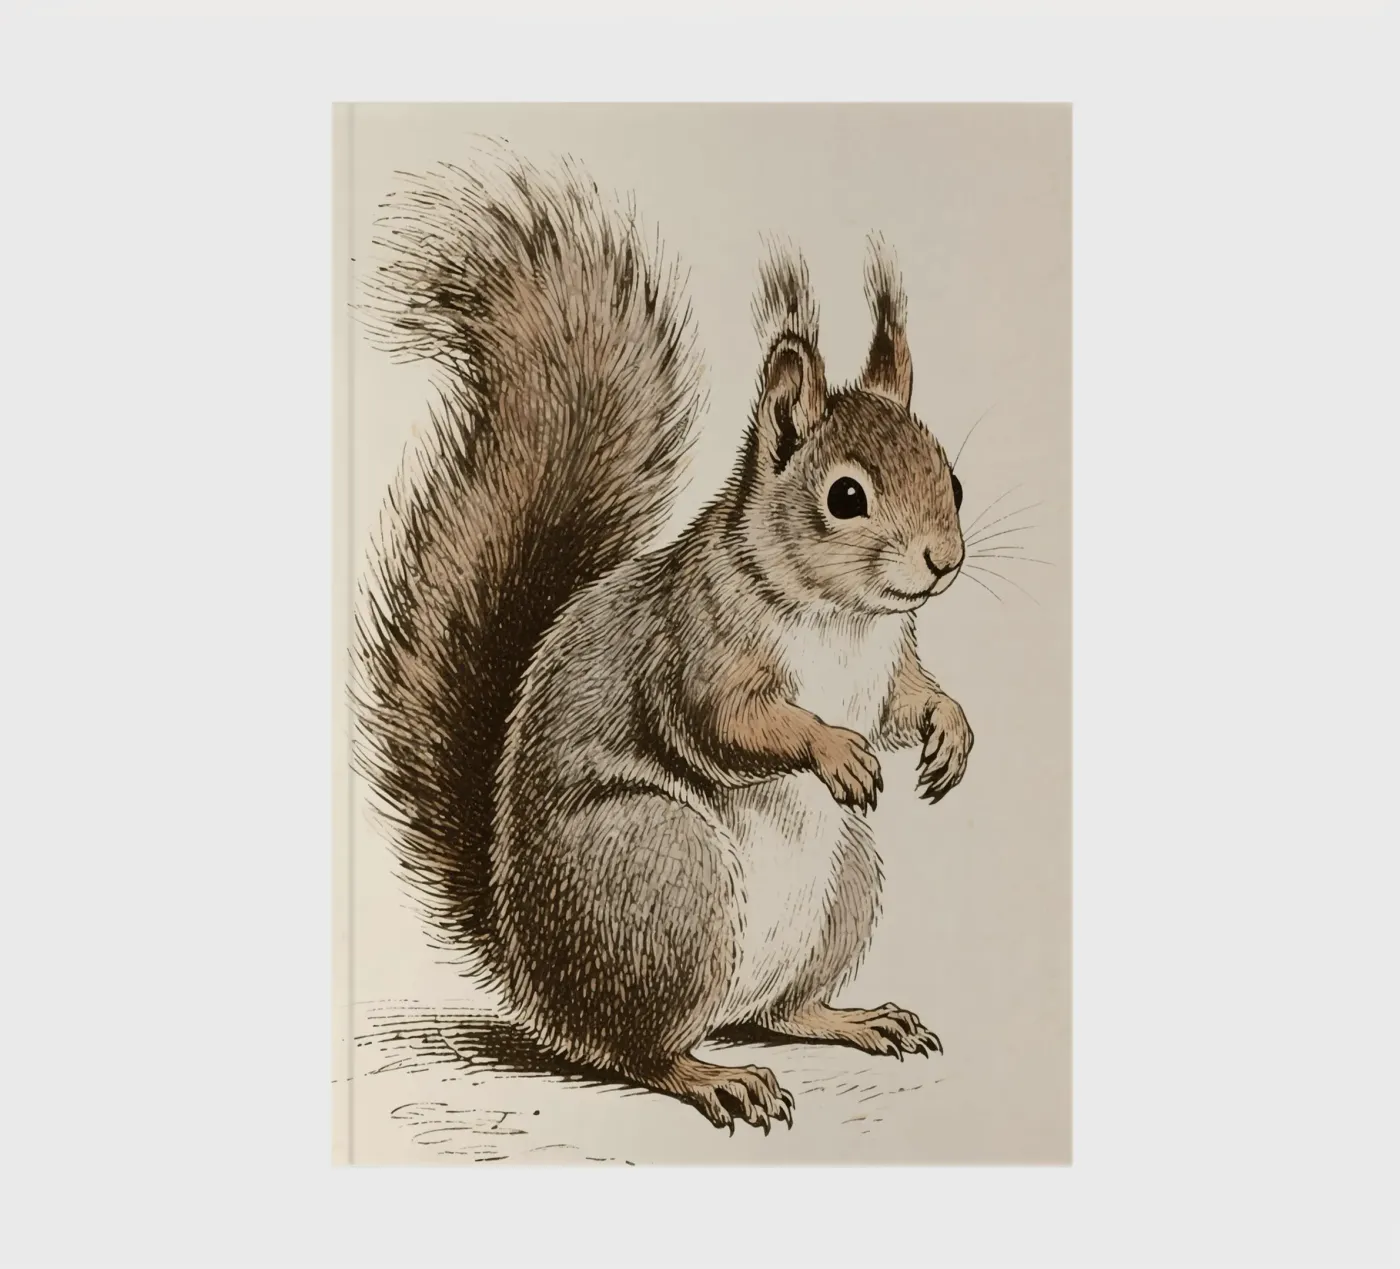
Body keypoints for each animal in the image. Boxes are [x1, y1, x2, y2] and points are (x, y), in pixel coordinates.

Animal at [353, 157, 974, 1134]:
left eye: (953, 479)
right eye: (845, 496)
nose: (944, 561)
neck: (842, 617)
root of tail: (542, 991)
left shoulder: (888, 664)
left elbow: (910, 699)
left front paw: (951, 731)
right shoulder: (695, 643)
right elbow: (725, 723)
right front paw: (834, 749)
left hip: (846, 879)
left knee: (781, 1008)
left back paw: (855, 1017)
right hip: (663, 874)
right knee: (640, 1050)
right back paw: (715, 1075)